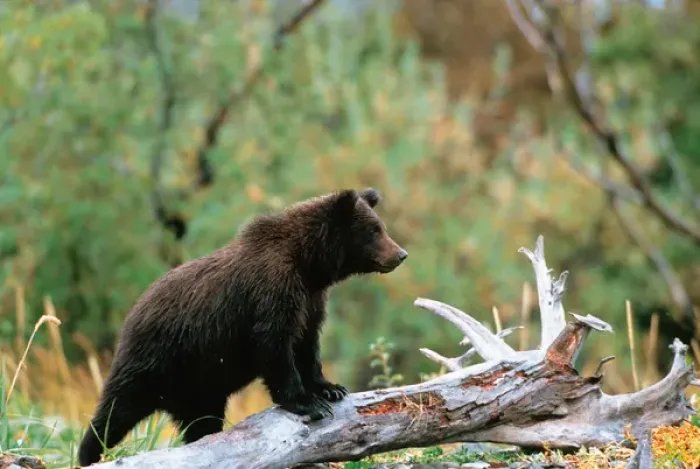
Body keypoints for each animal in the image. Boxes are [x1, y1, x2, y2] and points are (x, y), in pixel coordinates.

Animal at [77, 187, 408, 467]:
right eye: (374, 230)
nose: (400, 254)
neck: (308, 266)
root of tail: (134, 311)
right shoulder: (271, 294)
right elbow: (276, 347)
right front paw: (308, 403)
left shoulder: (311, 301)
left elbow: (307, 344)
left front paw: (330, 388)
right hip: (157, 357)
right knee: (116, 409)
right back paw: (89, 453)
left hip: (200, 386)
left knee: (201, 422)